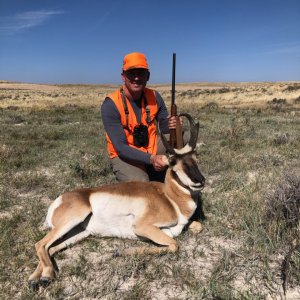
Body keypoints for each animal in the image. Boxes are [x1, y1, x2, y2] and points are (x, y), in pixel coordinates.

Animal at [28, 112, 205, 288]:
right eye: (173, 161)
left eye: (196, 156)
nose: (200, 181)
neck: (169, 197)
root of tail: (60, 199)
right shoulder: (142, 227)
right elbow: (174, 245)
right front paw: (120, 252)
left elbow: (198, 227)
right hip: (72, 220)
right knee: (40, 244)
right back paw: (45, 277)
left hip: (80, 232)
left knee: (50, 248)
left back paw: (35, 279)